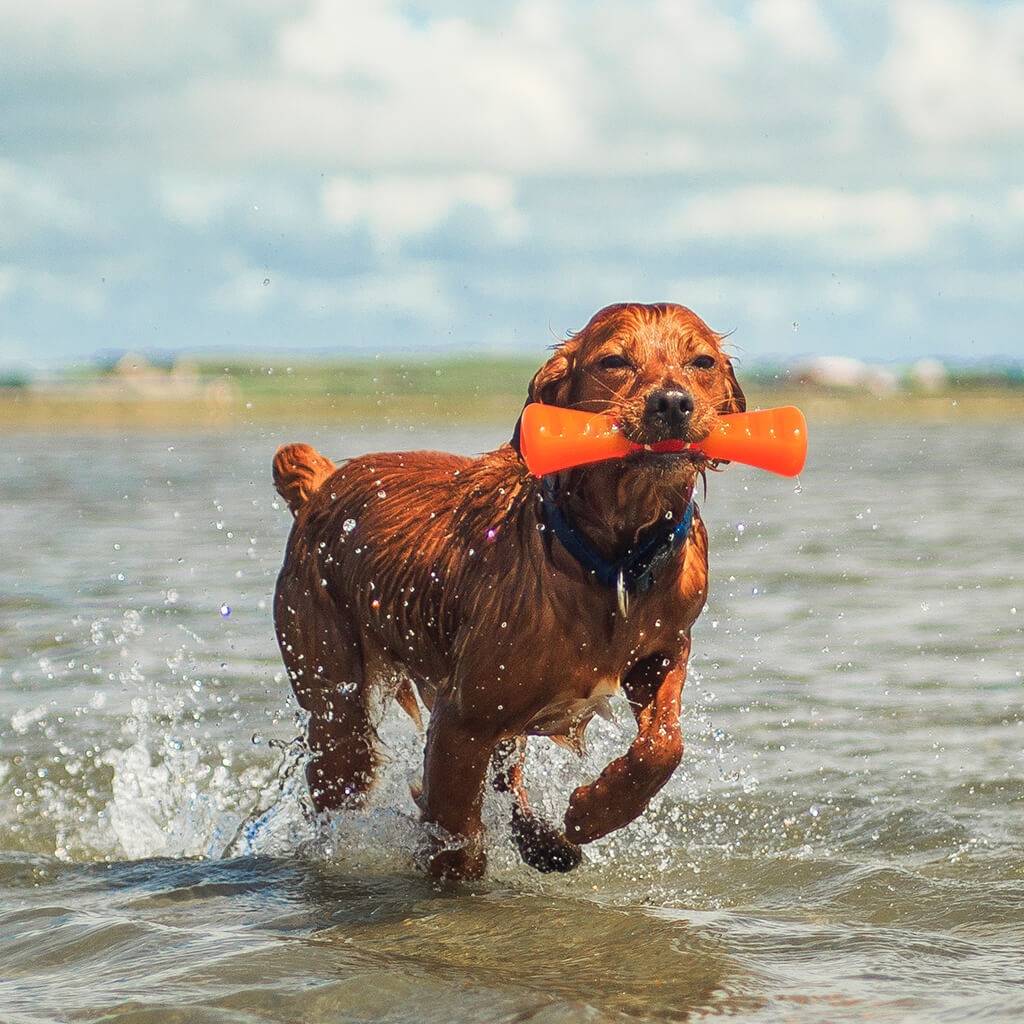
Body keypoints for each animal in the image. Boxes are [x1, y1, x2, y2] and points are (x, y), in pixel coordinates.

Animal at [272, 301, 745, 880]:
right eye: (614, 361)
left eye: (702, 362)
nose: (673, 403)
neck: (611, 561)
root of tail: (322, 485)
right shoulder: (462, 717)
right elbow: (454, 832)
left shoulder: (665, 648)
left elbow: (664, 745)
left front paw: (593, 811)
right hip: (334, 700)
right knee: (343, 773)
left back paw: (546, 842)